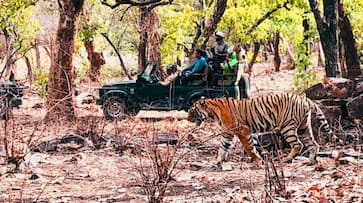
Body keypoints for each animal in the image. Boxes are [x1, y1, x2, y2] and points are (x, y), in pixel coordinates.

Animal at [188, 93, 338, 165]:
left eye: (192, 111)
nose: (187, 118)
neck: (213, 112)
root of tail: (305, 98)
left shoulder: (242, 130)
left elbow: (249, 147)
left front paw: (256, 160)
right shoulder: (227, 134)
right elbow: (222, 148)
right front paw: (217, 161)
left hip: (287, 127)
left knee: (298, 144)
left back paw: (286, 159)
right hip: (303, 128)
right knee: (314, 144)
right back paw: (311, 161)